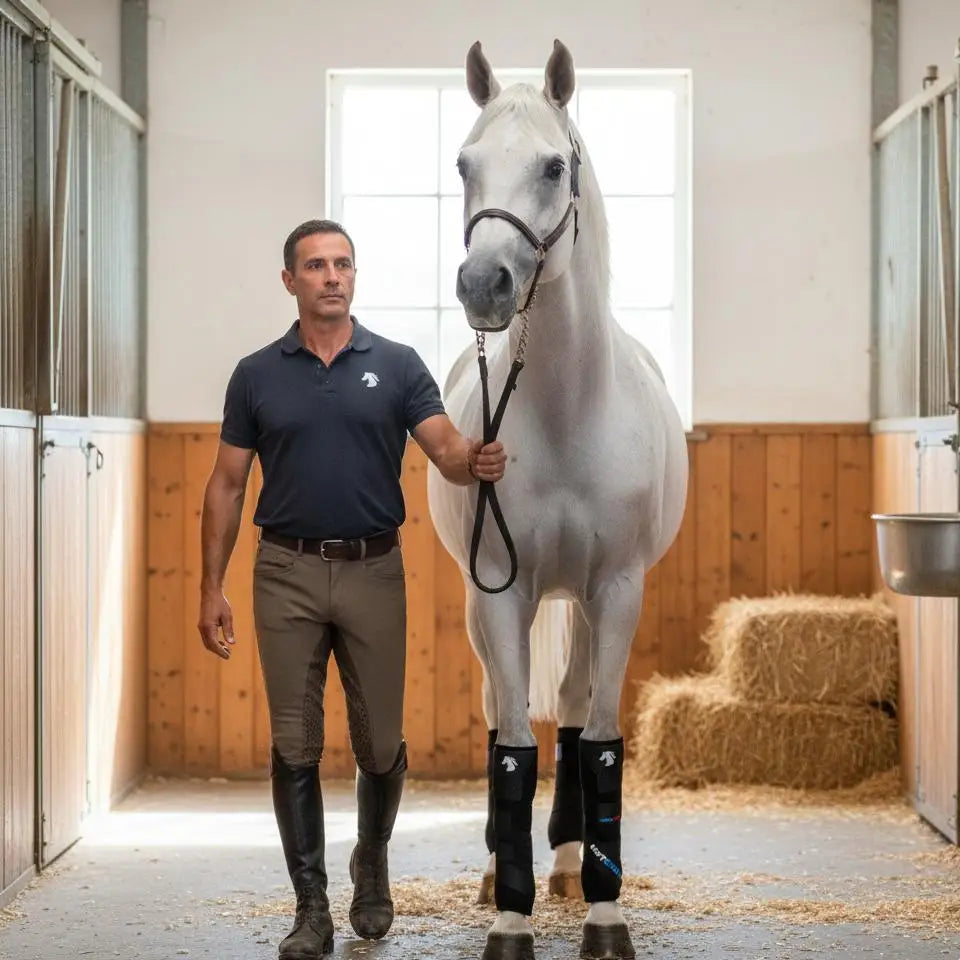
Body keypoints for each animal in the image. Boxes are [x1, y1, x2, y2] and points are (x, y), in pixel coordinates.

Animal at [425, 39, 689, 960]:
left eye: (552, 165)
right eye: (464, 165)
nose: (483, 284)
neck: (570, 410)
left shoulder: (617, 589)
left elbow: (601, 741)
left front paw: (606, 914)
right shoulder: (500, 592)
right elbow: (509, 744)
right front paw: (510, 915)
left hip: (578, 597)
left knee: (573, 714)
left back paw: (575, 866)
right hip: (499, 600)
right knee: (500, 711)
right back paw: (497, 871)